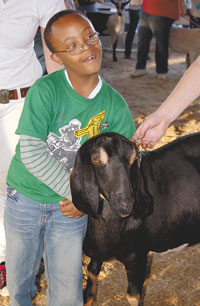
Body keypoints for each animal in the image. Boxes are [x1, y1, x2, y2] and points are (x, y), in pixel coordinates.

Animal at [69, 133, 200, 306]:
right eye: (95, 158)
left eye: (133, 158)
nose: (126, 204)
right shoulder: (97, 252)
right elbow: (91, 277)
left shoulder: (136, 255)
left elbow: (132, 295)